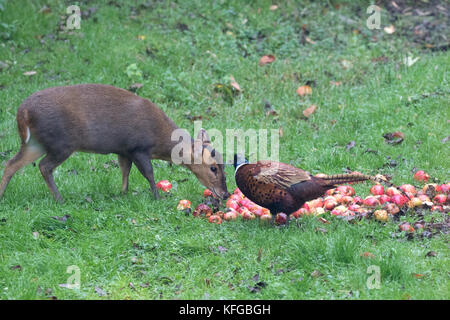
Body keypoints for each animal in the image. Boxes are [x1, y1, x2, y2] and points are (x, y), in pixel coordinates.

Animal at [0, 83, 230, 202]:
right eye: (213, 168)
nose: (225, 193)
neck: (161, 141)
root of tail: (23, 112)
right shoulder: (138, 147)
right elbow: (149, 173)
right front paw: (157, 197)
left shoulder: (123, 150)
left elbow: (124, 171)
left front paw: (123, 193)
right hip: (61, 143)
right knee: (44, 166)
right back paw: (59, 199)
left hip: (36, 143)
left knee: (11, 163)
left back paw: (2, 195)